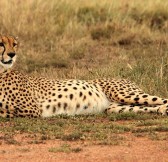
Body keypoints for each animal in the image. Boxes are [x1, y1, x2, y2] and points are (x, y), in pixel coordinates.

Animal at [0, 35, 168, 117]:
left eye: (14, 44)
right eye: (1, 43)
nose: (12, 54)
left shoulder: (31, 109)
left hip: (125, 94)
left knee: (161, 99)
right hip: (116, 107)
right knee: (147, 107)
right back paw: (162, 110)